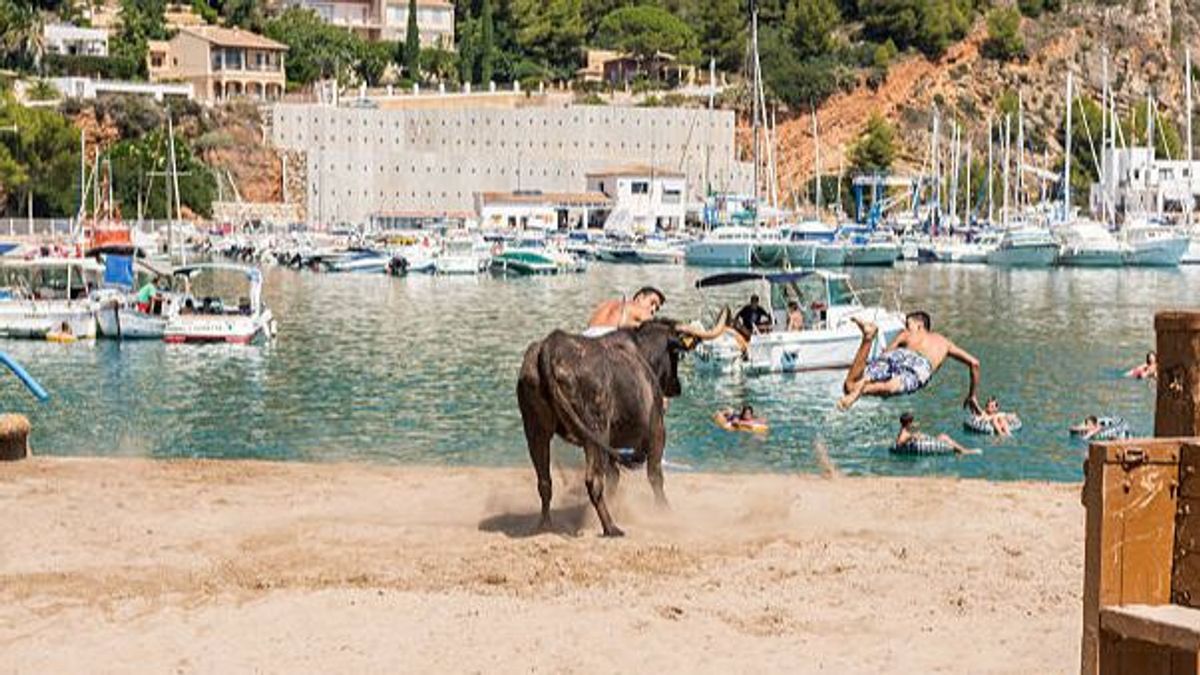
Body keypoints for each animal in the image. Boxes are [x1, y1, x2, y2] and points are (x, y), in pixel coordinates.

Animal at [513, 314, 720, 535]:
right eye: (677, 356)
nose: (676, 387)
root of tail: (551, 345)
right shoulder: (657, 428)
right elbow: (655, 475)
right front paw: (665, 512)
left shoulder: (612, 445)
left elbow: (614, 478)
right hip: (595, 431)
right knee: (593, 480)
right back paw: (610, 527)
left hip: (536, 430)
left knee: (545, 481)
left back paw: (545, 524)